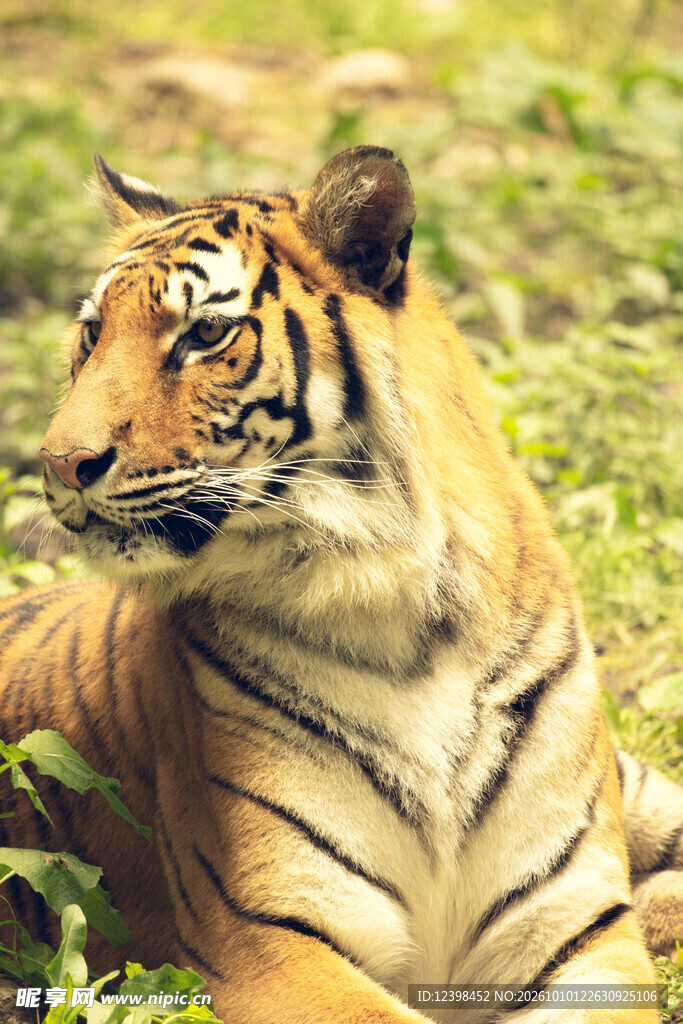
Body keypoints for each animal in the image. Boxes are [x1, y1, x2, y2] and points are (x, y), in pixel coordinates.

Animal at [0, 145, 681, 1024]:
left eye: (205, 334)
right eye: (91, 335)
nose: (57, 463)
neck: (410, 615)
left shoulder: (579, 930)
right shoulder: (264, 937)